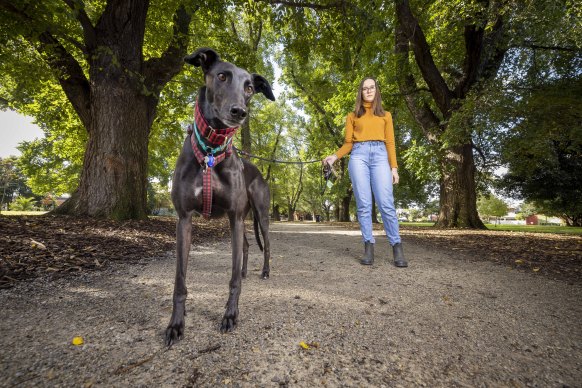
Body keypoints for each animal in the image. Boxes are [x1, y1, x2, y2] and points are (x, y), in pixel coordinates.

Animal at [167, 48, 276, 346]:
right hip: (240, 218)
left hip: (258, 214)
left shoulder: (235, 217)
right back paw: (245, 270)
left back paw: (264, 271)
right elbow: (180, 281)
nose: (239, 112)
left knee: (265, 245)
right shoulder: (184, 219)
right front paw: (176, 324)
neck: (210, 151)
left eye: (249, 87)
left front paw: (230, 315)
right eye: (222, 76)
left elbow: (232, 280)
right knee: (247, 246)